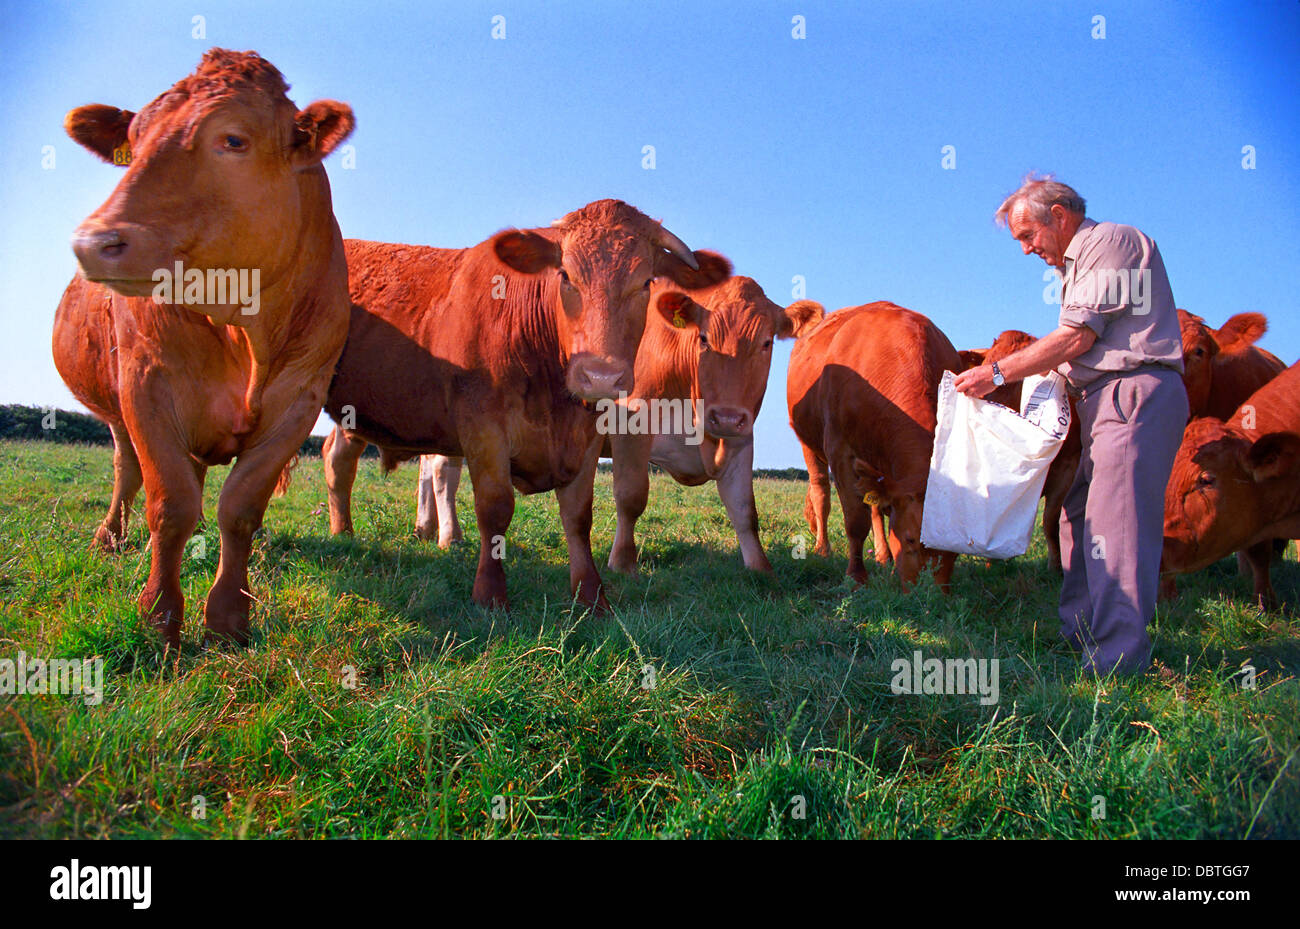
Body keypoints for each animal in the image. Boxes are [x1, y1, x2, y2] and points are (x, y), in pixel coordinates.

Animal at [58, 49, 355, 648]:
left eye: (233, 139)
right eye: (133, 142)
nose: (94, 242)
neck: (246, 329)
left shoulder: (299, 401)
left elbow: (239, 507)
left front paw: (228, 616)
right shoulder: (146, 384)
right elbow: (169, 503)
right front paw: (159, 617)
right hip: (117, 409)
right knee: (129, 470)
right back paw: (111, 537)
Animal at [321, 202, 732, 610]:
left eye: (646, 282)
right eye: (565, 275)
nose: (600, 376)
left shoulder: (586, 436)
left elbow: (578, 516)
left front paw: (591, 595)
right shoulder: (483, 425)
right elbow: (495, 507)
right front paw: (489, 595)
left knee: (341, 458)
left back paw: (350, 532)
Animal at [789, 302, 963, 591]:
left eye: (957, 550)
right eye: (911, 539)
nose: (931, 596)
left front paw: (889, 567)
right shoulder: (840, 451)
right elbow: (855, 522)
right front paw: (856, 577)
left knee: (874, 508)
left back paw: (883, 556)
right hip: (809, 446)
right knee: (821, 493)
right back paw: (823, 550)